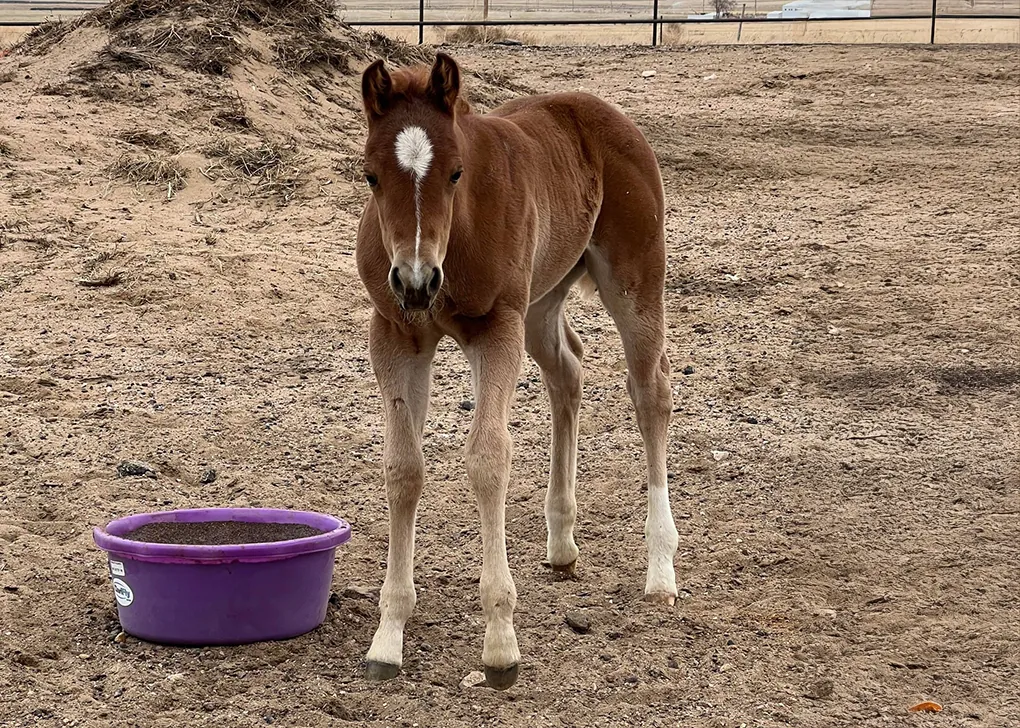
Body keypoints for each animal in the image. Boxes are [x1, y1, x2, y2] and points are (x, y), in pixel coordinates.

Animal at [355, 52, 679, 690]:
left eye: (456, 173)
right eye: (372, 176)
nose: (415, 281)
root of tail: (599, 108)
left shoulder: (495, 329)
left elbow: (488, 457)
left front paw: (500, 643)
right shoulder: (398, 336)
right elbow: (403, 468)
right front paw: (388, 635)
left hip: (631, 279)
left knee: (649, 390)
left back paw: (660, 570)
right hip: (542, 300)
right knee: (568, 371)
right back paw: (561, 539)